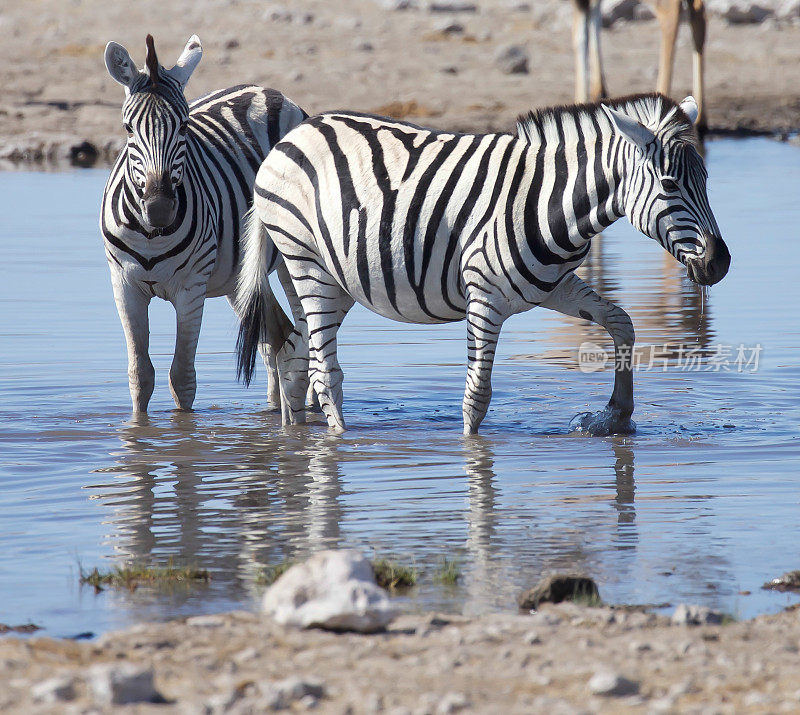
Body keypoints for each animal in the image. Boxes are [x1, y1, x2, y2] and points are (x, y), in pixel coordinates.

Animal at [97, 33, 304, 414]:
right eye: (128, 129)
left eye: (183, 126)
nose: (159, 209)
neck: (151, 237)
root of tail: (267, 91)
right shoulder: (124, 286)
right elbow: (140, 375)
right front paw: (139, 426)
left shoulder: (191, 289)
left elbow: (182, 377)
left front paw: (183, 427)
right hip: (239, 276)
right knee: (277, 339)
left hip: (292, 253)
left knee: (303, 336)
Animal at [234, 93, 728, 436]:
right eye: (669, 184)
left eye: (706, 179)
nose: (719, 264)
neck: (548, 201)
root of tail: (291, 136)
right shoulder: (484, 298)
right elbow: (477, 395)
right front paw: (474, 458)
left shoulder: (554, 286)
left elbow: (622, 322)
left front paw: (617, 415)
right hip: (308, 264)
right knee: (325, 372)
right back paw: (341, 441)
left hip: (330, 280)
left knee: (296, 356)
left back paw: (296, 438)